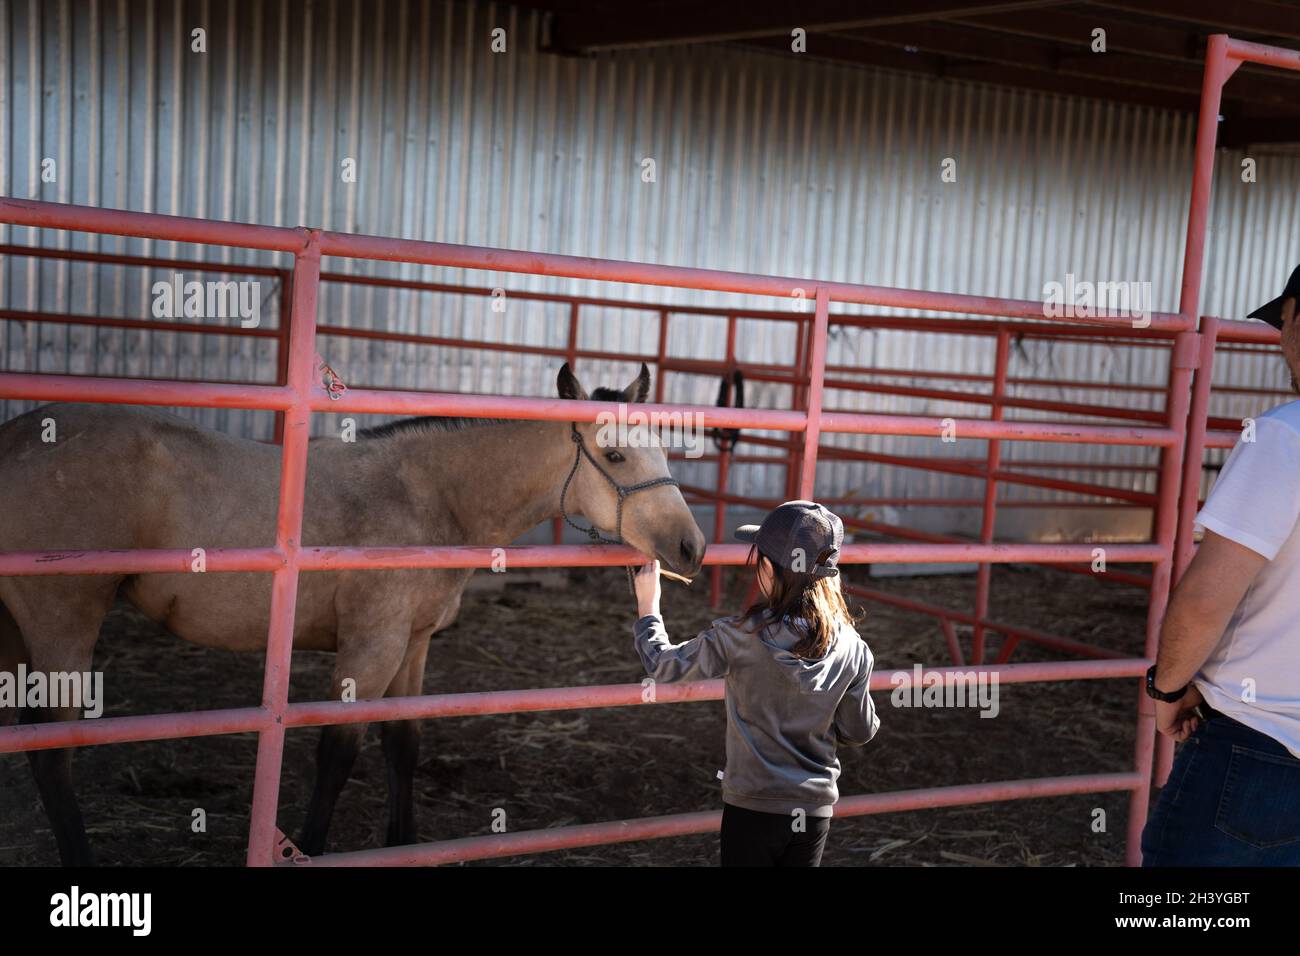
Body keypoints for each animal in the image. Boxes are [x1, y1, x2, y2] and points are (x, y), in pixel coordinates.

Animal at [0, 362, 706, 865]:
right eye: (614, 456)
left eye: (663, 452)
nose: (690, 548)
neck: (428, 495)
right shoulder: (372, 646)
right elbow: (338, 755)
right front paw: (310, 848)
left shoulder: (413, 645)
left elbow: (402, 744)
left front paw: (404, 845)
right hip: (63, 622)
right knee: (50, 750)